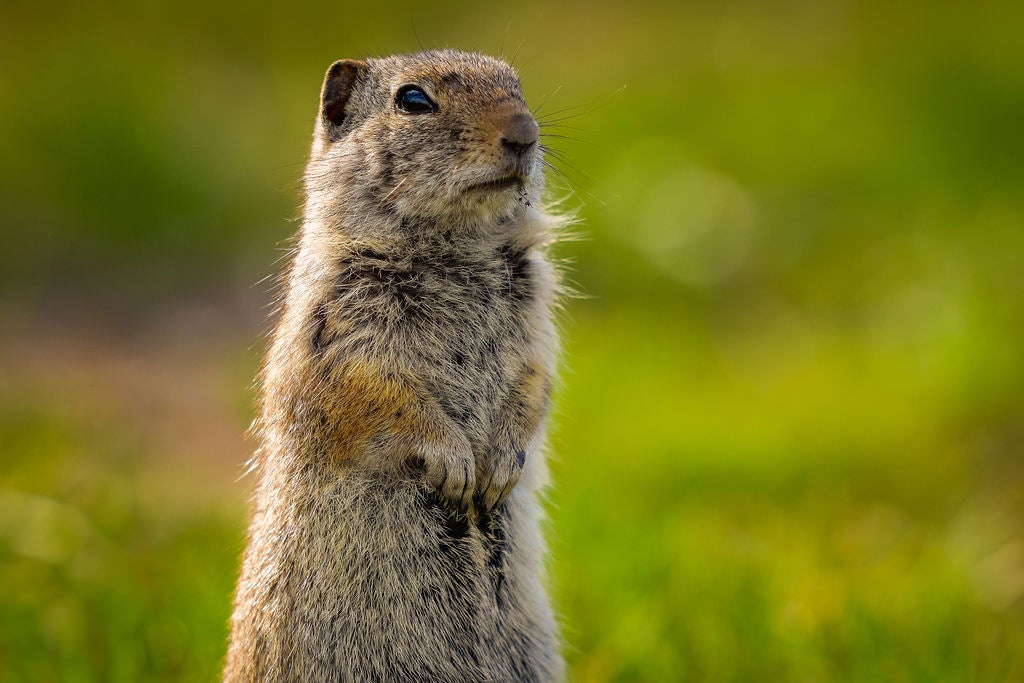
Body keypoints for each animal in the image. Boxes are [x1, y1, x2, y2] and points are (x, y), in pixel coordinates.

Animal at [223, 50, 566, 682]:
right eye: (412, 100)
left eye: (518, 87)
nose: (525, 133)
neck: (454, 246)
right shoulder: (340, 333)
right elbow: (380, 396)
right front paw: (456, 465)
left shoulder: (536, 325)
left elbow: (534, 383)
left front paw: (502, 463)